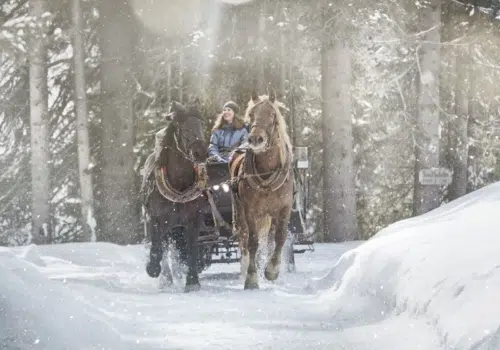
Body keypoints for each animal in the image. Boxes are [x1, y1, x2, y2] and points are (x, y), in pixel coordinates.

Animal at [142, 99, 208, 292]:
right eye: (183, 128)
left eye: (202, 125)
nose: (201, 153)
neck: (179, 186)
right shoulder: (156, 220)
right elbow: (157, 247)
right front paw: (153, 269)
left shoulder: (193, 221)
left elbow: (192, 249)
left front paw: (192, 282)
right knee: (162, 247)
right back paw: (165, 278)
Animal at [229, 91, 294, 290]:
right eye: (251, 114)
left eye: (272, 115)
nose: (255, 139)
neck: (266, 174)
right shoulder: (250, 210)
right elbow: (252, 242)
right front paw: (251, 278)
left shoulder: (284, 208)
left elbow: (279, 238)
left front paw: (271, 270)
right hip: (240, 212)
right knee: (243, 238)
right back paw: (245, 269)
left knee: (270, 238)